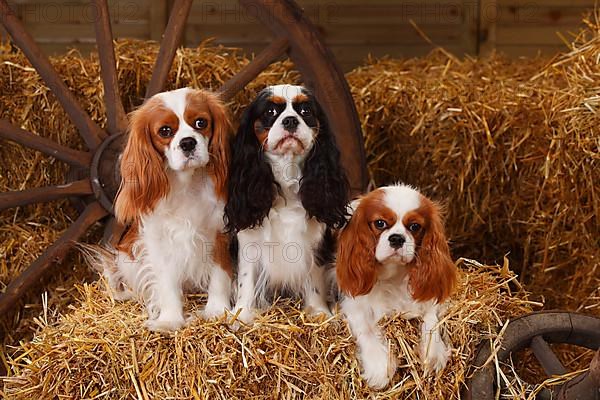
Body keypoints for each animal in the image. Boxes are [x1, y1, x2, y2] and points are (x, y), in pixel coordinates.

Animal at [91, 89, 232, 332]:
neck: (187, 186)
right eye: (165, 131)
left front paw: (217, 312)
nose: (188, 142)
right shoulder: (159, 242)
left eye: (201, 123)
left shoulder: (219, 233)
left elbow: (219, 276)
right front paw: (169, 320)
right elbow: (166, 284)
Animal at [224, 84, 346, 324]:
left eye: (305, 111)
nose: (290, 120)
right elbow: (246, 280)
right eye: (271, 112)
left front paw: (319, 311)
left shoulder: (314, 242)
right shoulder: (249, 243)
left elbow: (314, 279)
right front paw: (242, 314)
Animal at [336, 186, 458, 390]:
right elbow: (366, 330)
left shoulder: (432, 297)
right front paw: (379, 367)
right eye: (380, 223)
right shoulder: (352, 306)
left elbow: (431, 320)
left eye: (415, 226)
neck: (393, 275)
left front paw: (433, 353)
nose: (397, 238)